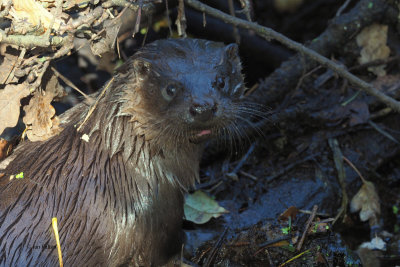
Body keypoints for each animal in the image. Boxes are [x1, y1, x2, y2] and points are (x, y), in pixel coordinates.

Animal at [0, 38, 245, 266]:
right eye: (170, 88)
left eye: (221, 81)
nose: (203, 107)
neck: (127, 152)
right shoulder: (156, 214)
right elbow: (170, 249)